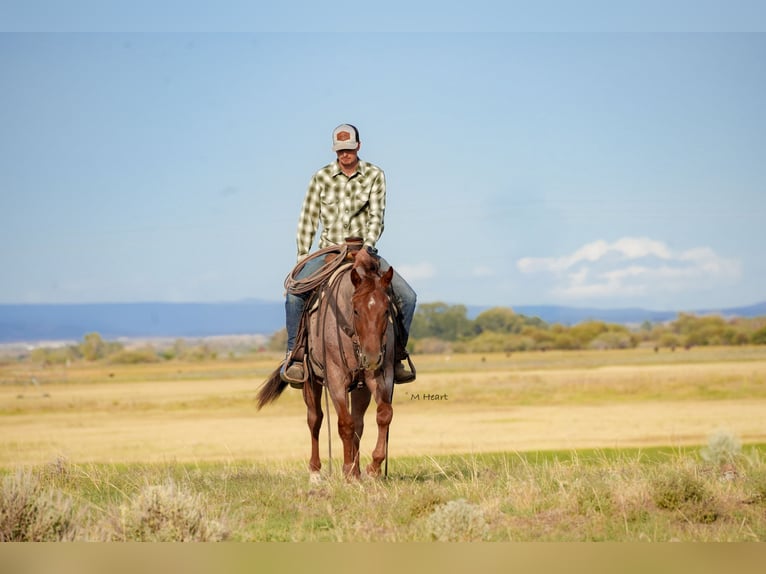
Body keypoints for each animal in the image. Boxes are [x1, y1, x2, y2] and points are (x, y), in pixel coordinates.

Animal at [256, 247, 396, 481]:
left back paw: (358, 470)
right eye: (356, 310)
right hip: (310, 382)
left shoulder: (380, 376)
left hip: (360, 387)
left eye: (386, 310)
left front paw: (373, 468)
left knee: (359, 421)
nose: (371, 357)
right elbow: (344, 424)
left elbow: (384, 415)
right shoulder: (335, 379)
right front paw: (347, 470)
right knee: (315, 419)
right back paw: (316, 471)